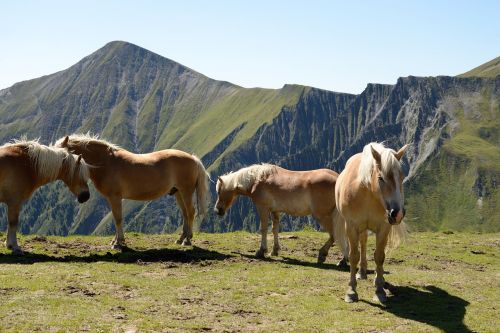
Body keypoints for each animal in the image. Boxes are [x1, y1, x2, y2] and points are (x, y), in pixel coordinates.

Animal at [55, 134, 211, 248]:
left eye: (63, 154)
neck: (107, 162)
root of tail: (193, 158)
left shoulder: (115, 197)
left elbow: (118, 218)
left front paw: (118, 242)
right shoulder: (112, 199)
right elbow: (116, 218)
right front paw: (115, 241)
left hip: (186, 192)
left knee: (190, 212)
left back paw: (187, 240)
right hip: (178, 193)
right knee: (185, 214)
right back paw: (181, 238)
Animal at [214, 162, 348, 264]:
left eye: (219, 191)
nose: (217, 210)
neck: (257, 179)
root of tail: (338, 178)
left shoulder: (262, 208)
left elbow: (264, 229)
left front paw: (261, 251)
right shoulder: (275, 211)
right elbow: (275, 229)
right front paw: (275, 250)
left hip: (323, 216)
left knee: (335, 235)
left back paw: (326, 255)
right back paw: (342, 260)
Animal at [334, 141, 408, 302]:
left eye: (402, 177)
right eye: (381, 178)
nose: (397, 213)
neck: (367, 193)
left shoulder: (384, 227)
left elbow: (379, 256)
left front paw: (379, 291)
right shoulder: (351, 226)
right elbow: (354, 256)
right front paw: (351, 291)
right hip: (360, 228)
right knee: (362, 244)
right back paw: (361, 273)